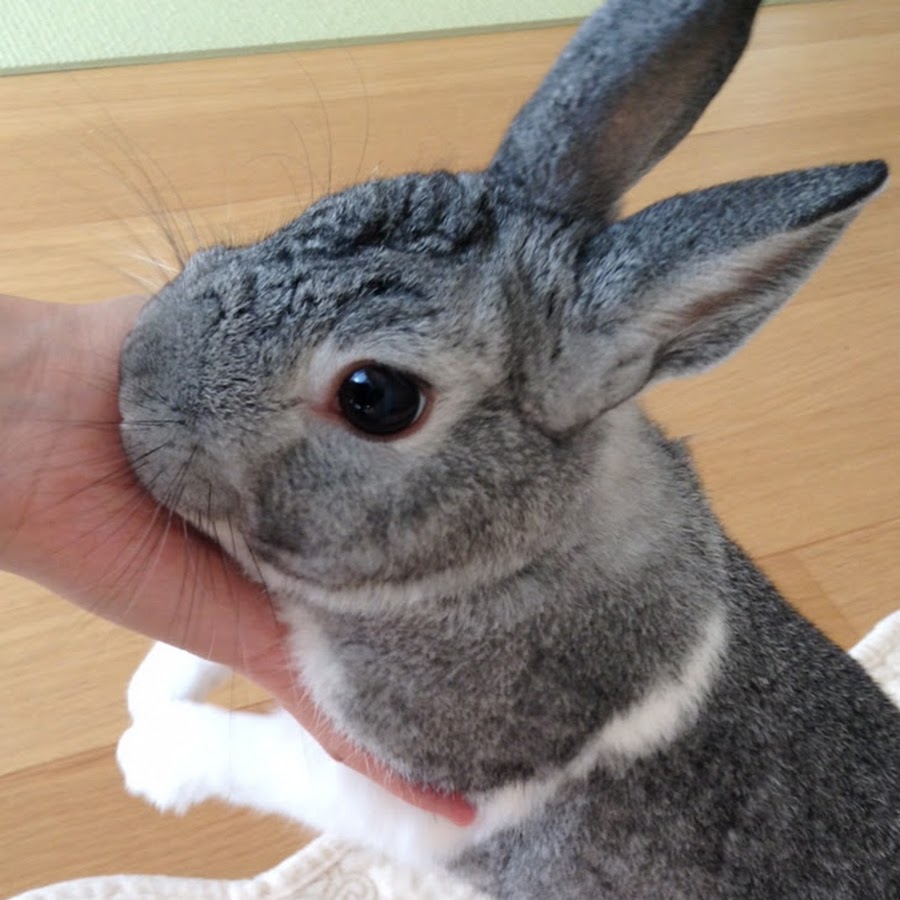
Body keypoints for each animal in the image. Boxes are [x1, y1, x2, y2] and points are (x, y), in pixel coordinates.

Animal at [115, 0, 900, 897]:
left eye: (375, 397)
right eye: (335, 204)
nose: (134, 378)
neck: (520, 554)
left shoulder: (415, 797)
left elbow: (269, 756)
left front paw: (150, 754)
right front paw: (151, 685)